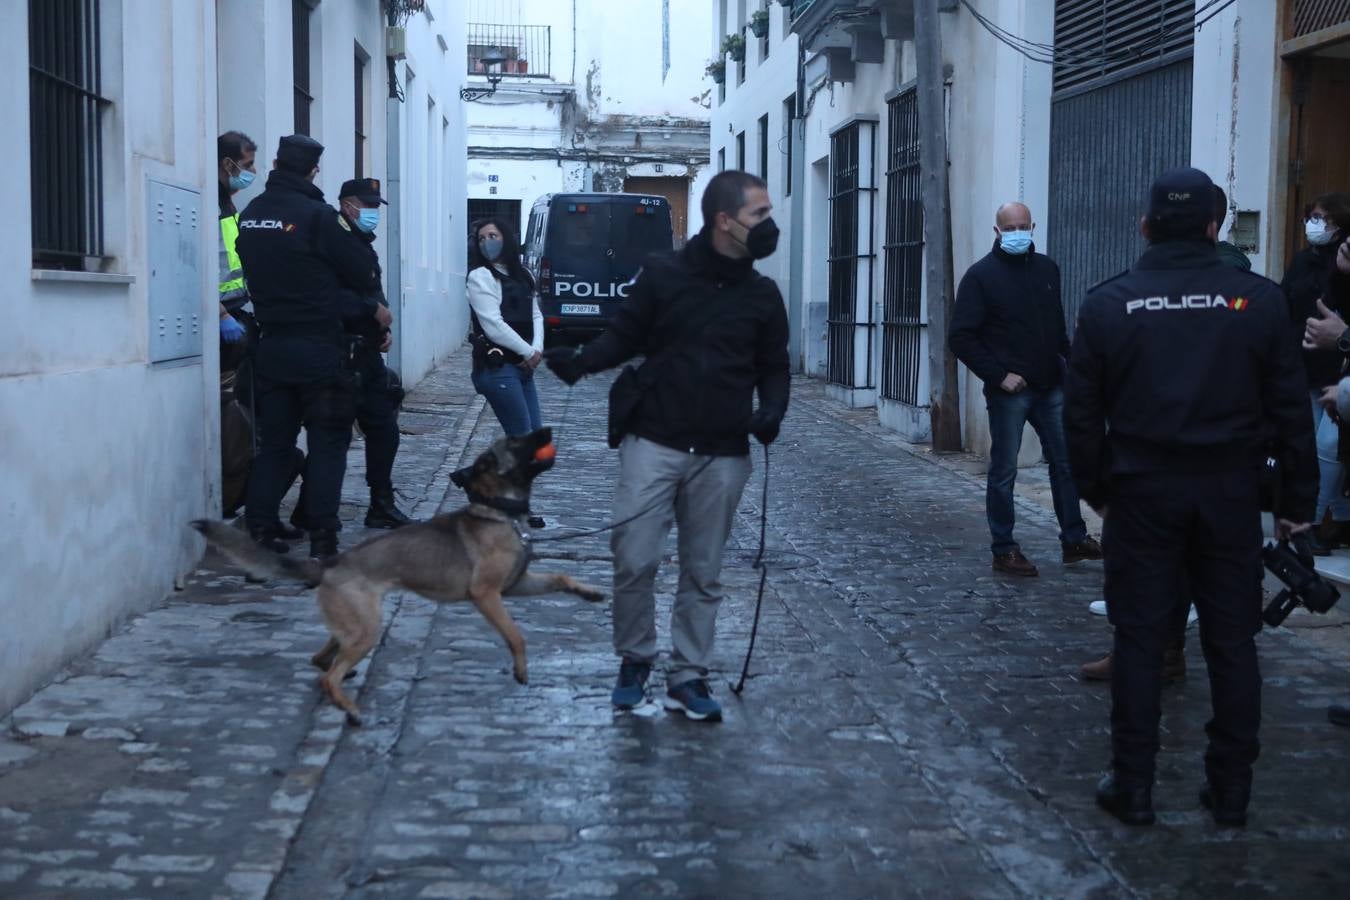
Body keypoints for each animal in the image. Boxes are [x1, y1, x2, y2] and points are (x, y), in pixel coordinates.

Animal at [191, 426, 607, 728]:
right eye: (518, 440)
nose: (547, 429)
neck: (500, 512)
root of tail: (330, 563)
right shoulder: (487, 595)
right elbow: (516, 635)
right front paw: (521, 670)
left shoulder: (516, 585)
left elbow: (560, 576)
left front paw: (590, 593)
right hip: (367, 629)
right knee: (328, 674)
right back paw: (351, 710)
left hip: (354, 626)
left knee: (321, 659)